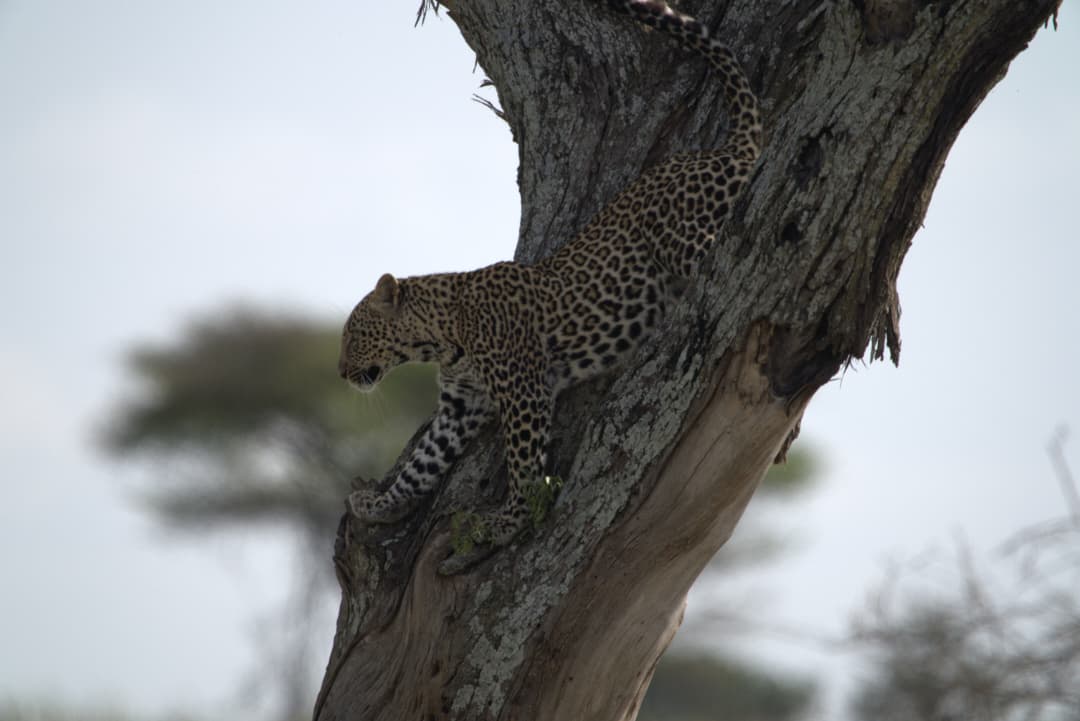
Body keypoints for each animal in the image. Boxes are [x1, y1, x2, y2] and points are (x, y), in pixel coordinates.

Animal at [339, 0, 762, 568]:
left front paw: (508, 522)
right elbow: (420, 465)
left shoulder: (523, 390)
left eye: (355, 333)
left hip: (688, 239)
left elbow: (522, 464)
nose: (341, 373)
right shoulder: (460, 406)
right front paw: (382, 505)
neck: (443, 336)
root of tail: (718, 152)